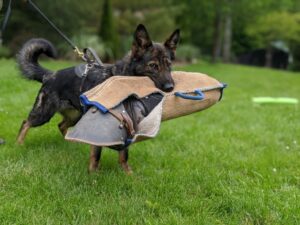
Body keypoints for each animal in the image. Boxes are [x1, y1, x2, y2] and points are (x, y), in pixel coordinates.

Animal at [16, 23, 179, 173]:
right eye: (153, 66)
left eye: (169, 65)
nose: (171, 87)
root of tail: (50, 75)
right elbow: (96, 155)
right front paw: (93, 175)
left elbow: (124, 155)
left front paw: (128, 173)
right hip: (43, 114)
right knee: (26, 123)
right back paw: (19, 144)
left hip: (75, 116)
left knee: (61, 125)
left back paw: (72, 142)